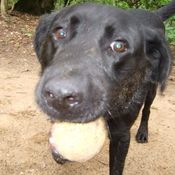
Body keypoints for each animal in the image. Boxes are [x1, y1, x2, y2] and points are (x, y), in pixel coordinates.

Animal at [34, 1, 175, 175]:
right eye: (60, 32)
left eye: (119, 45)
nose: (59, 96)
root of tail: (153, 14)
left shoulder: (121, 136)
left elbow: (116, 167)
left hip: (152, 90)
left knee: (147, 110)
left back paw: (143, 132)